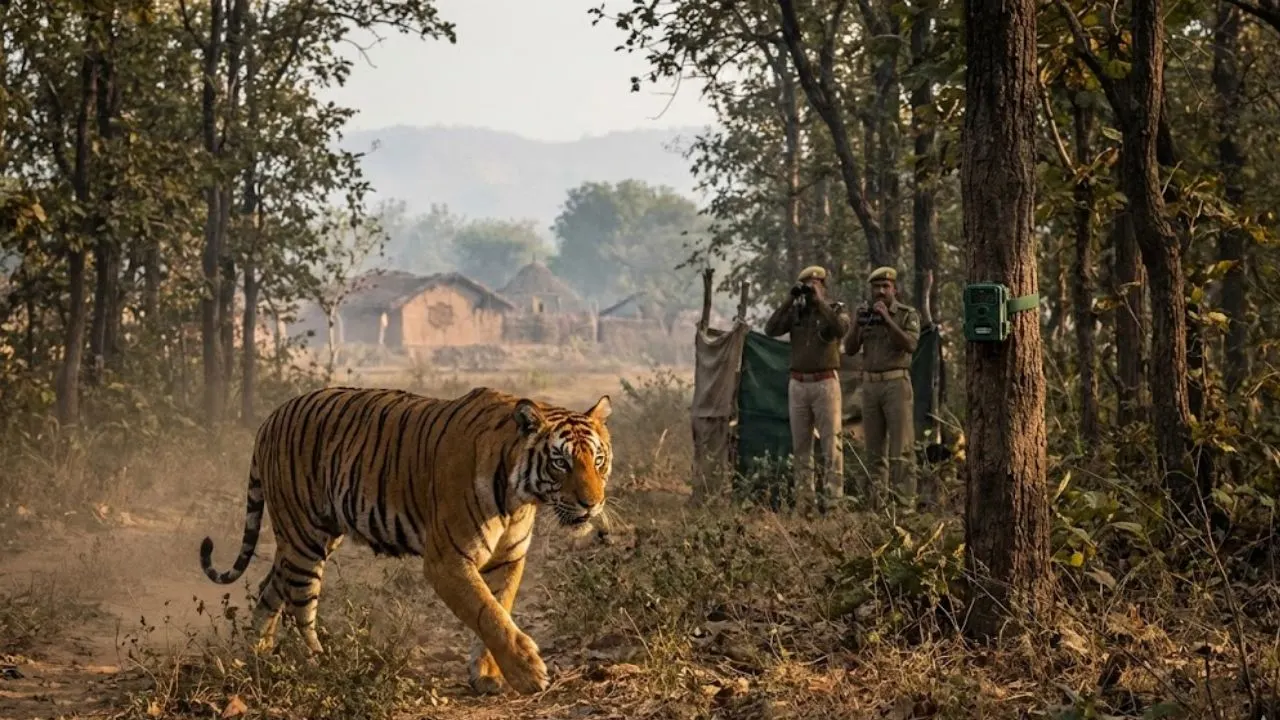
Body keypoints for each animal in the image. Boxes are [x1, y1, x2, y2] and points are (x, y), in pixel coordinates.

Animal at [198, 385, 612, 695]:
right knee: (300, 606)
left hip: (313, 536)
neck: (519, 498)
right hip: (304, 539)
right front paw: (528, 672)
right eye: (560, 462)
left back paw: (257, 654)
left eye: (598, 461)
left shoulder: (508, 559)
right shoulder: (447, 560)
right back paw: (322, 663)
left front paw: (487, 674)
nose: (592, 504)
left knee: (270, 588)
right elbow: (487, 612)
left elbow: (500, 608)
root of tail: (271, 417)